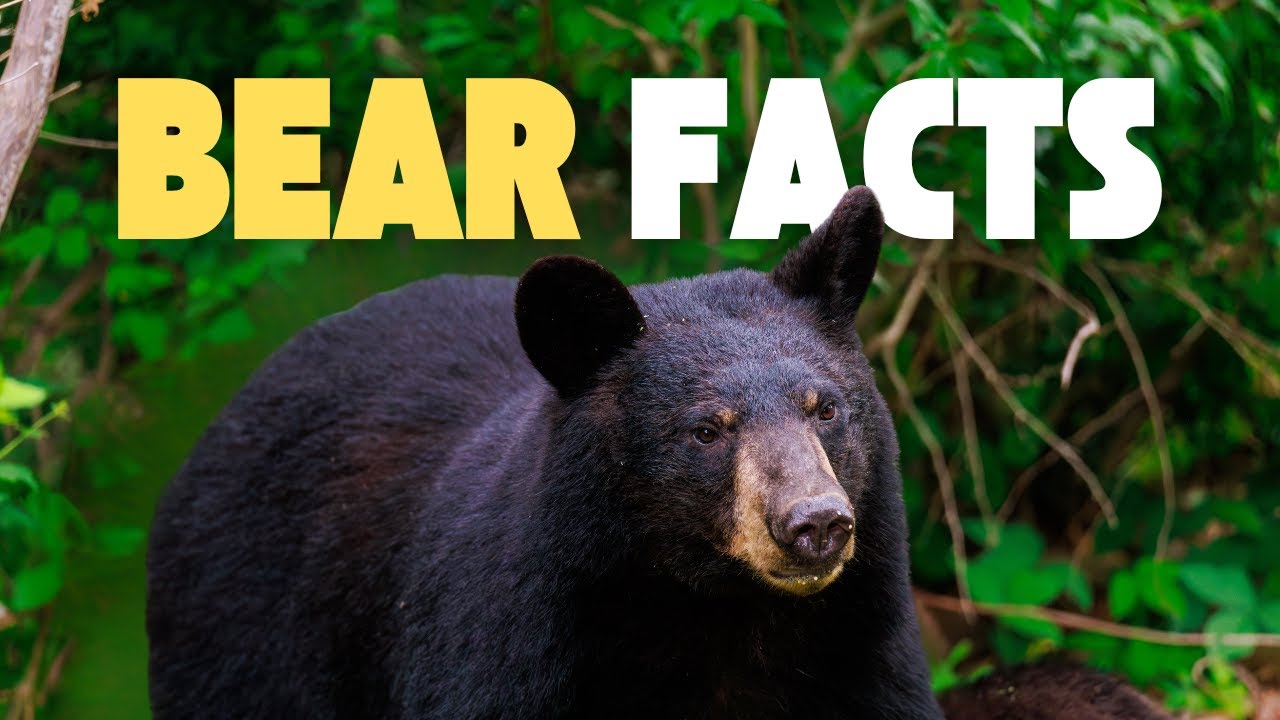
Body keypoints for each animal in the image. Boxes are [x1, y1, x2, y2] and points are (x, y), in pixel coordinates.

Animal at [147, 185, 946, 719]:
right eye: (705, 430)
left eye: (826, 407)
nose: (815, 523)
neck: (721, 617)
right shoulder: (511, 646)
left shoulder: (864, 651)